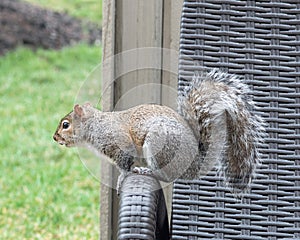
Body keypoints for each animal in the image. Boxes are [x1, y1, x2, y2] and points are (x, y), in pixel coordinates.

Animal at [53, 69, 264, 195]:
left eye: (65, 124)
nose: (55, 138)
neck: (94, 126)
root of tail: (195, 163)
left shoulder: (118, 142)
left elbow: (125, 165)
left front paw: (122, 179)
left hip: (158, 144)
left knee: (167, 176)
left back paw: (149, 171)